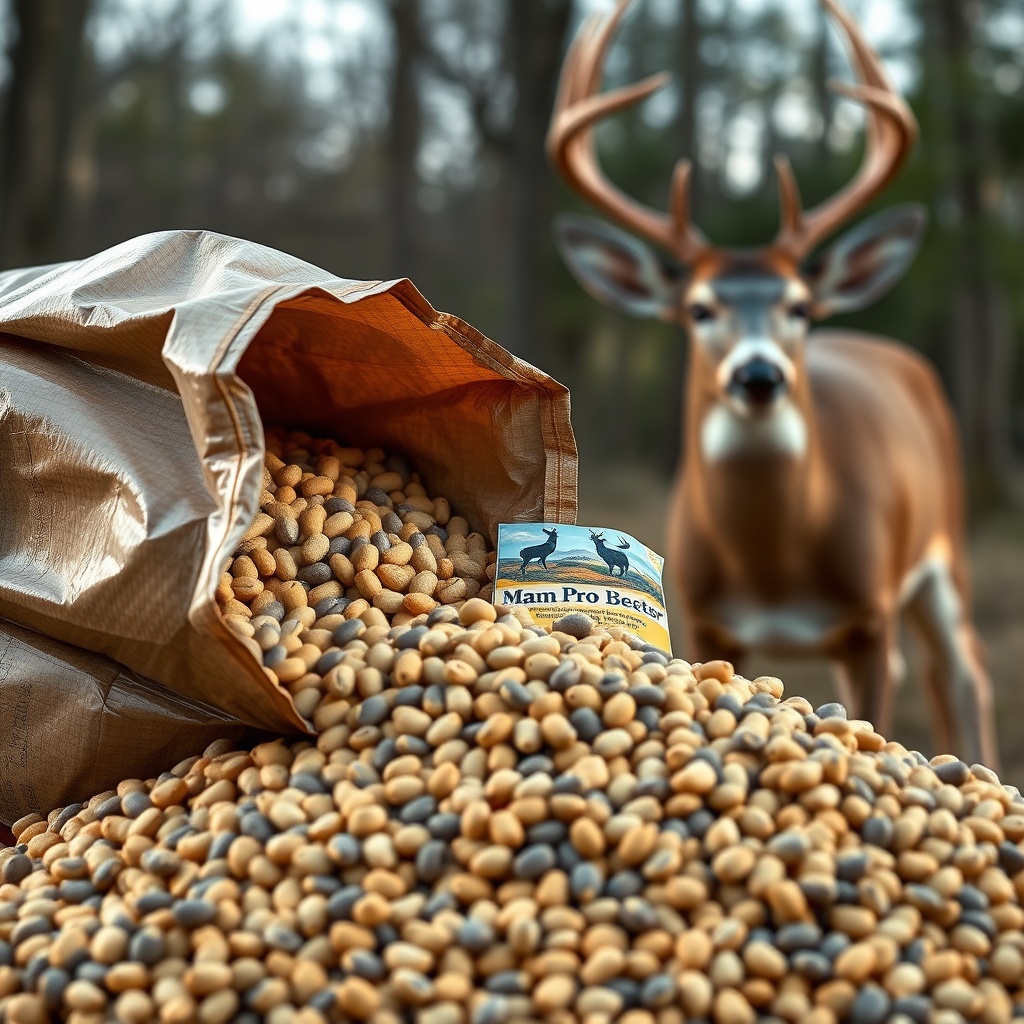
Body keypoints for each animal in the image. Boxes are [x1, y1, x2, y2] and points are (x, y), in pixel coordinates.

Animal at [548, 0, 998, 768]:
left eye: (800, 306)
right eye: (699, 308)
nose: (758, 374)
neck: (773, 563)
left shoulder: (869, 614)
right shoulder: (706, 616)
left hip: (944, 546)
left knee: (964, 672)